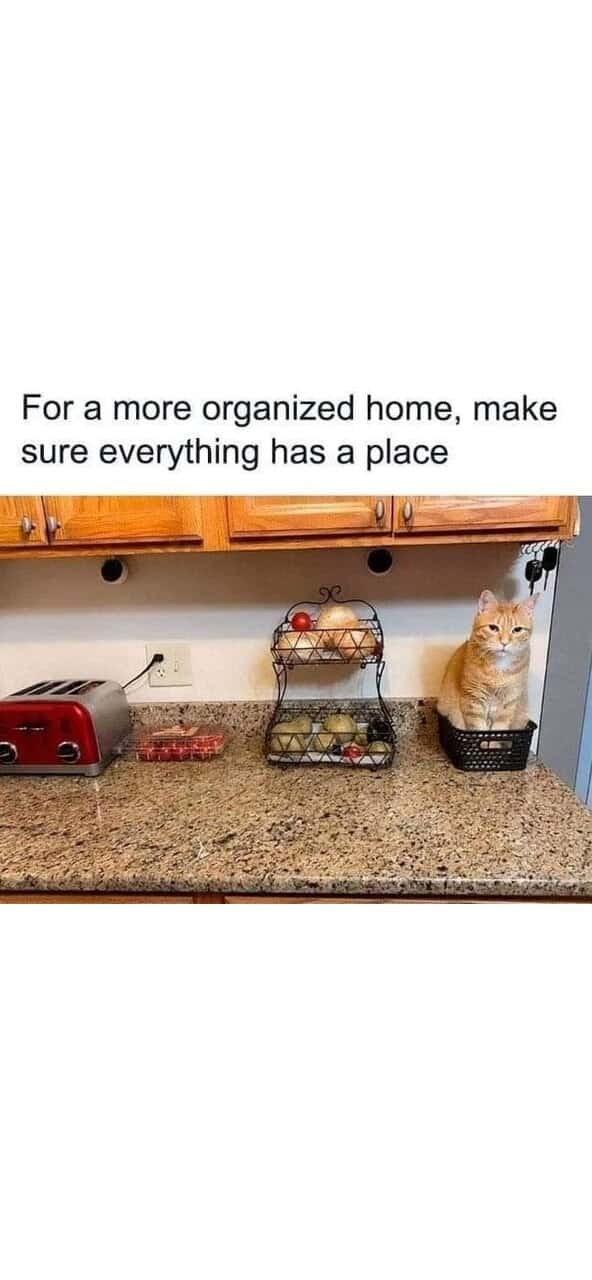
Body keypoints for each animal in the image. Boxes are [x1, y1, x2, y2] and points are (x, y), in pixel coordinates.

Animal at [437, 589, 538, 731]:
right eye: (493, 628)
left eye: (517, 630)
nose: (504, 643)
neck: (498, 672)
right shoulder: (474, 701)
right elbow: (479, 730)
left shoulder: (508, 705)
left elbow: (498, 731)